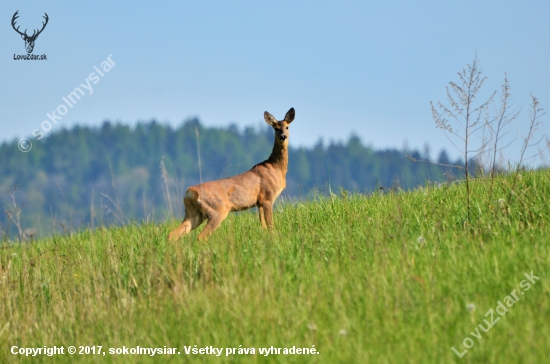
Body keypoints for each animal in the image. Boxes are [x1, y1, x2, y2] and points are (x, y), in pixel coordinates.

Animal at [169, 108, 296, 242]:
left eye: (287, 127)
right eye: (276, 128)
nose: (283, 136)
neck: (275, 167)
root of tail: (190, 192)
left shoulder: (259, 203)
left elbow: (263, 226)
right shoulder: (267, 197)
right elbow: (270, 226)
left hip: (193, 214)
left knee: (172, 234)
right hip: (217, 210)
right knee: (201, 236)